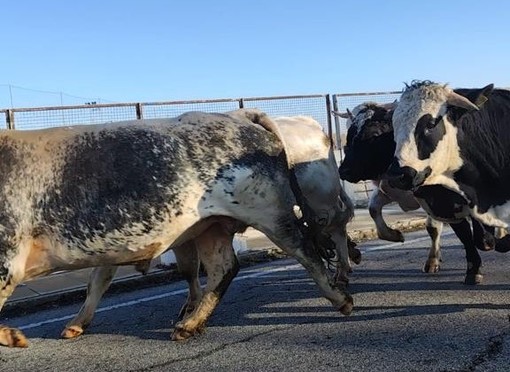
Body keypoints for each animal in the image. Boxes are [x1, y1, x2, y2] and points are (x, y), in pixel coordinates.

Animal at [0, 109, 354, 348]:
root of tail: (237, 115)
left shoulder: (7, 259)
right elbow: (97, 282)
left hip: (271, 212)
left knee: (307, 250)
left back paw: (341, 298)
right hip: (210, 226)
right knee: (223, 268)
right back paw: (189, 323)